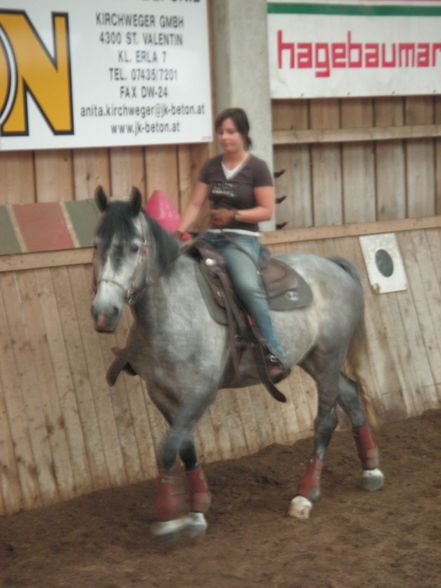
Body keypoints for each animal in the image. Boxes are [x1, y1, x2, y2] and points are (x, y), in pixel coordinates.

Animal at [91, 187, 384, 544]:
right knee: (352, 394)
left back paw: (304, 495)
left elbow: (167, 449)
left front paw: (168, 521)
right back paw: (371, 470)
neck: (174, 309)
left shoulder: (201, 392)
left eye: (134, 246)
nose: (103, 313)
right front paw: (197, 511)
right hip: (313, 361)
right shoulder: (161, 394)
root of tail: (333, 264)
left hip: (328, 359)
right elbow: (185, 446)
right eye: (96, 244)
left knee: (326, 421)